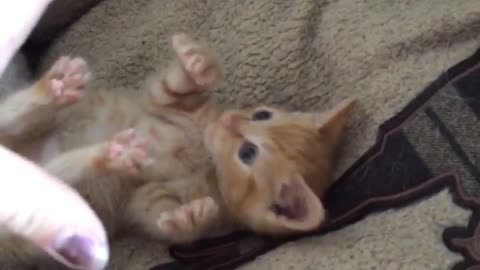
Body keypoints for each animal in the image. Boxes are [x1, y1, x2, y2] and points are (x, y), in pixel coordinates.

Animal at [0, 34, 352, 268]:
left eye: (248, 153)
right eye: (261, 114)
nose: (227, 120)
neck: (202, 155)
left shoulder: (144, 197)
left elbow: (158, 214)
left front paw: (189, 218)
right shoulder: (163, 106)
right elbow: (171, 90)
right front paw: (196, 65)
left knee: (55, 176)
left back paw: (111, 154)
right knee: (13, 119)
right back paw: (55, 88)